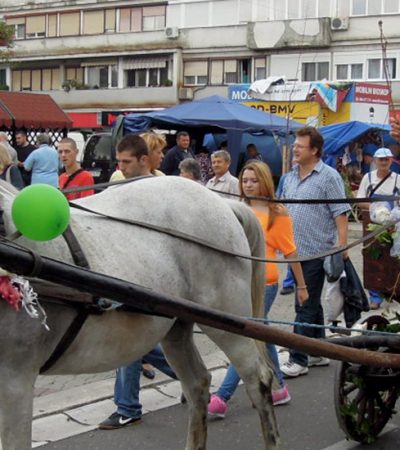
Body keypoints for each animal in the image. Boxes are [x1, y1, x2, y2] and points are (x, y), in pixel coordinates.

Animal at [0, 178, 280, 448]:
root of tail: (222, 202)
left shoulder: (15, 381)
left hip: (228, 319)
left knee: (258, 379)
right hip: (177, 325)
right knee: (197, 384)